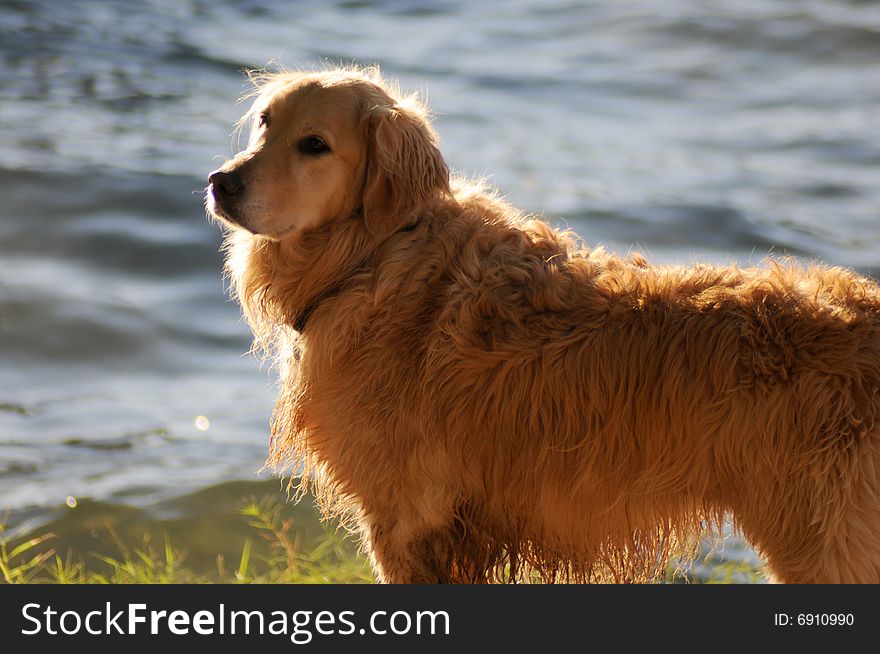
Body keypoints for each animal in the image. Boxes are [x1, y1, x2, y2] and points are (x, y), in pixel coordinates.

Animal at [210, 66, 880, 584]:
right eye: (265, 122)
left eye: (314, 144)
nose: (221, 182)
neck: (373, 256)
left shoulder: (405, 521)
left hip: (824, 543)